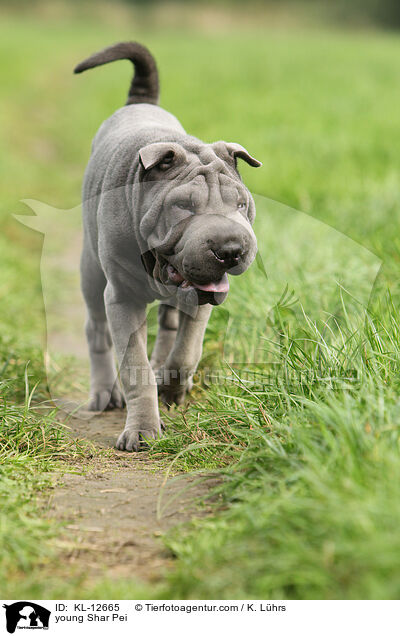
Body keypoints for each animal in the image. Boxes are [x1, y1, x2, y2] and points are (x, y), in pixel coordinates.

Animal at [74, 41, 262, 452]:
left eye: (240, 205)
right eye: (184, 207)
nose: (231, 249)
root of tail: (140, 103)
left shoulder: (204, 293)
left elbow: (187, 350)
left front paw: (172, 387)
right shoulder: (121, 298)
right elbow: (134, 365)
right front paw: (143, 429)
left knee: (169, 324)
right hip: (91, 270)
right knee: (95, 328)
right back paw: (103, 394)